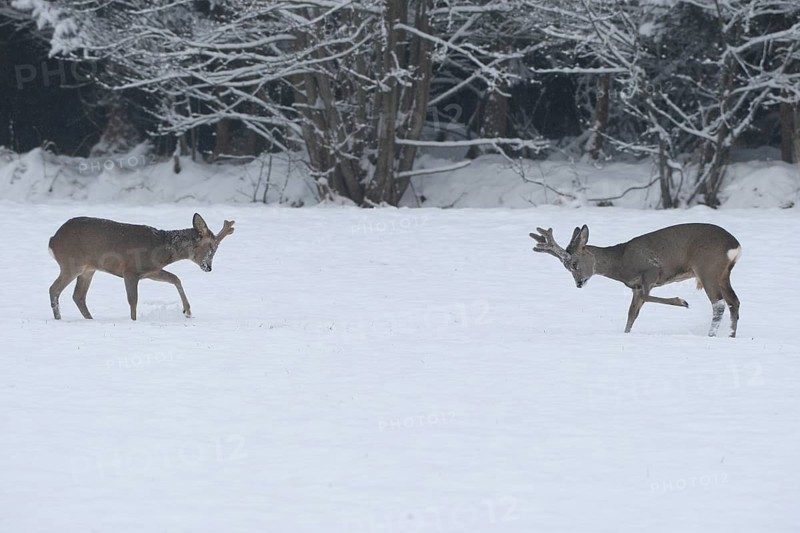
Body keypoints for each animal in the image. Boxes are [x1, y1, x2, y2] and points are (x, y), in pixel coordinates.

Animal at [48, 213, 235, 321]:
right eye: (212, 247)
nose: (208, 267)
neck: (160, 250)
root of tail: (52, 240)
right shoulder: (130, 270)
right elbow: (133, 300)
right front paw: (134, 321)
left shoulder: (151, 271)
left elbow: (175, 278)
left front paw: (187, 311)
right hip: (72, 263)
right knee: (54, 289)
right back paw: (59, 318)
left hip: (88, 269)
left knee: (78, 296)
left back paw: (90, 319)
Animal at [530, 223, 741, 337]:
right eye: (566, 267)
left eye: (574, 263)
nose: (579, 284)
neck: (621, 262)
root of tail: (735, 246)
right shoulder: (635, 286)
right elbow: (632, 313)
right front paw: (626, 335)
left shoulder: (652, 271)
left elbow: (646, 298)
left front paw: (682, 301)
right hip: (723, 274)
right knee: (734, 302)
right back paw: (730, 335)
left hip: (707, 268)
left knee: (719, 304)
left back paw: (711, 335)